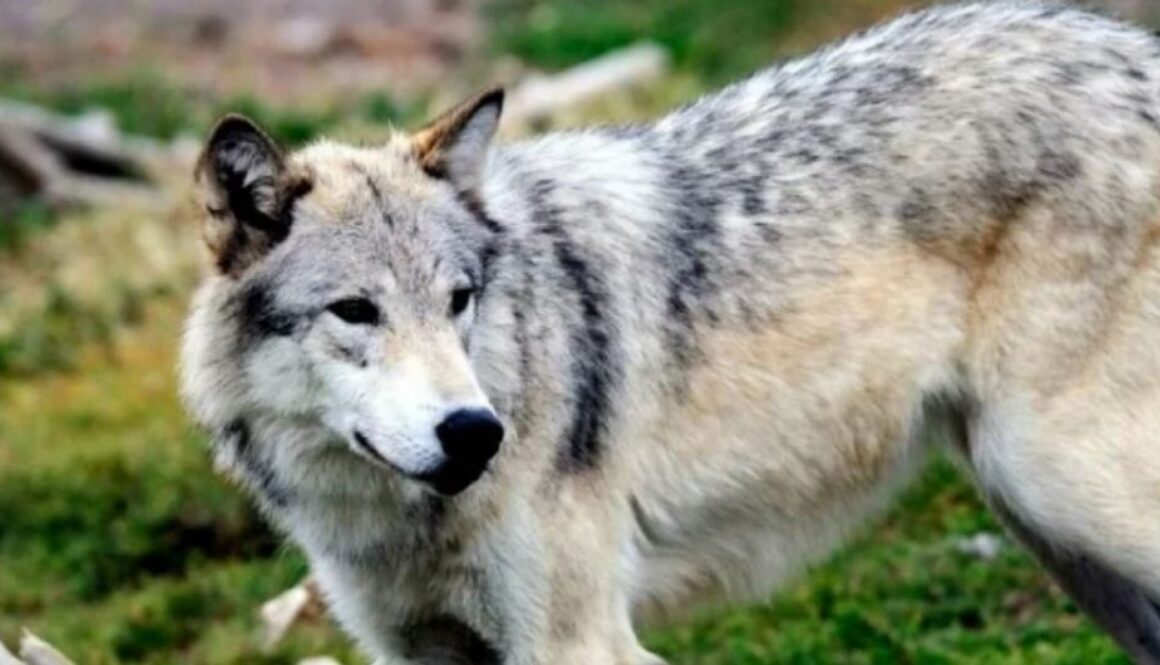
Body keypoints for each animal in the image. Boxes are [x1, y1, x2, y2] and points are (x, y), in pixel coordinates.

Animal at [181, 2, 1160, 662]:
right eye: (356, 310)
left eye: (459, 298)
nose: (475, 432)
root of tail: (1129, 45)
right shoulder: (419, 645)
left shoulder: (576, 643)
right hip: (1057, 529)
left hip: (1060, 489)